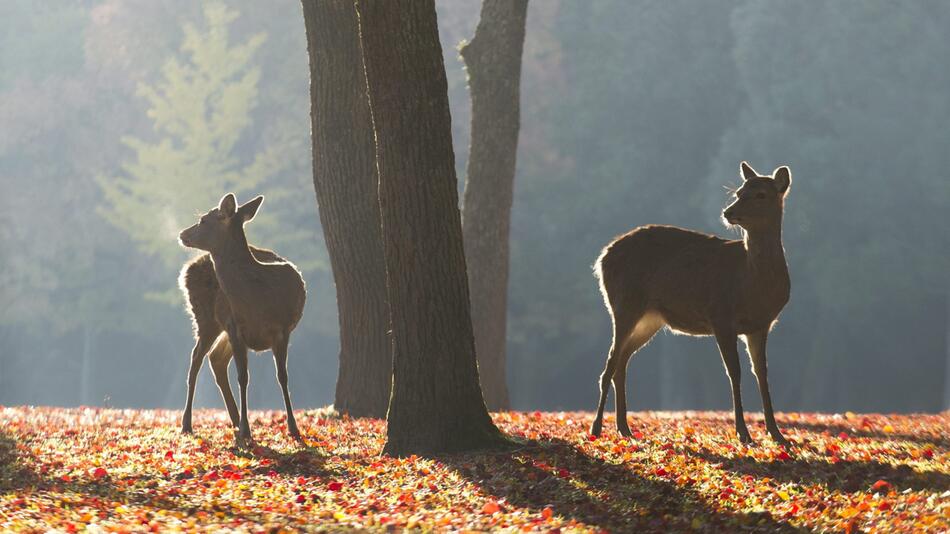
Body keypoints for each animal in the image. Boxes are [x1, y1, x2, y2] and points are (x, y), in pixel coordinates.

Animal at [179, 194, 308, 444]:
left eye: (203, 220)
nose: (182, 234)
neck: (258, 298)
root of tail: (185, 272)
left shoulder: (282, 329)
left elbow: (283, 377)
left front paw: (294, 428)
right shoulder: (235, 327)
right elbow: (243, 377)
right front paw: (247, 431)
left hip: (218, 326)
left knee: (215, 358)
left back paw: (235, 419)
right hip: (205, 318)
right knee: (196, 359)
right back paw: (188, 424)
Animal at [592, 161, 792, 446]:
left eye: (761, 194)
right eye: (739, 192)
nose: (728, 212)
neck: (750, 282)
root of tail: (602, 258)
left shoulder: (761, 325)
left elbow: (762, 375)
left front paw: (777, 434)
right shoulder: (721, 316)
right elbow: (735, 373)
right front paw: (743, 433)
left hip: (651, 318)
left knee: (622, 361)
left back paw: (624, 428)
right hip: (623, 304)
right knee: (610, 362)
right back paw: (597, 428)